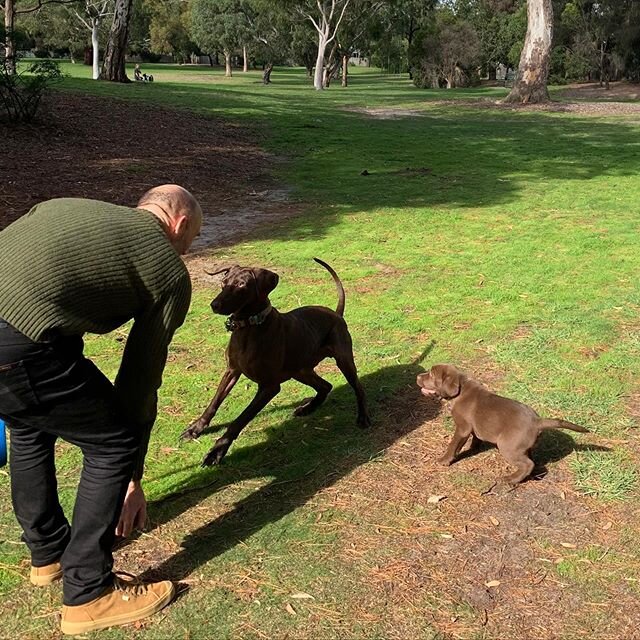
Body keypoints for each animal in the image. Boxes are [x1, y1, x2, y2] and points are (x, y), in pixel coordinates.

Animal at [181, 258, 370, 464]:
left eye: (241, 285)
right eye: (223, 283)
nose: (214, 304)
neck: (249, 327)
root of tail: (336, 314)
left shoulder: (269, 387)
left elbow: (240, 419)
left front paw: (217, 450)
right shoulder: (231, 371)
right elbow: (214, 403)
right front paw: (195, 428)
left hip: (343, 360)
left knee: (358, 388)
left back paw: (363, 417)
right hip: (300, 370)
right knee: (325, 386)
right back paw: (308, 408)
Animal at [416, 362, 592, 482]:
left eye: (431, 374)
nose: (417, 376)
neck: (461, 390)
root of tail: (537, 420)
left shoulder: (462, 428)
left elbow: (453, 445)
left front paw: (444, 460)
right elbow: (476, 438)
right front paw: (474, 448)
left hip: (508, 446)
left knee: (527, 464)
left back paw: (510, 479)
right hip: (522, 447)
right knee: (532, 461)